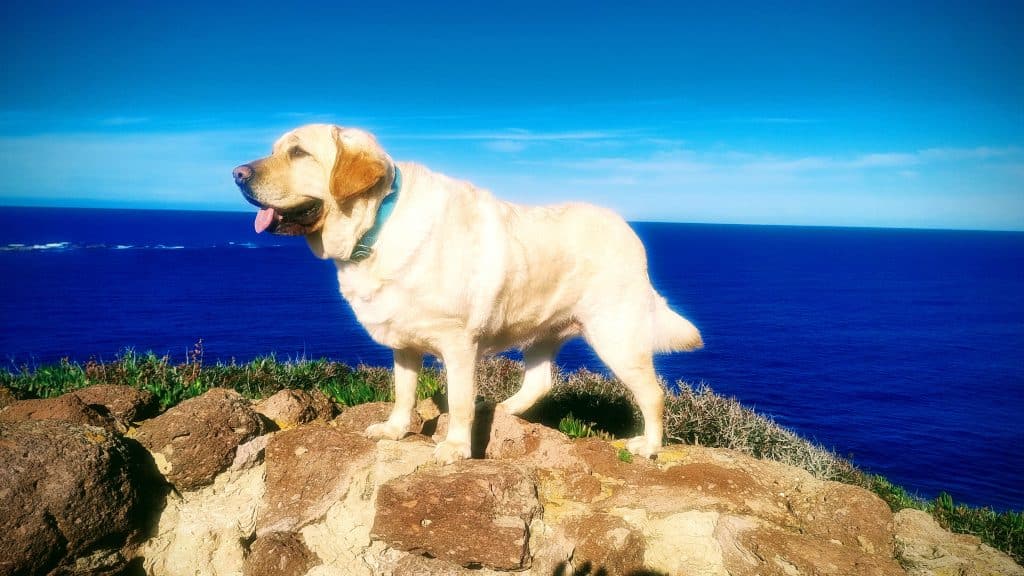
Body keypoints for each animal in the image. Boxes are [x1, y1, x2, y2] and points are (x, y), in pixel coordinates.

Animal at [233, 124, 702, 463]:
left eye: (298, 153)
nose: (237, 173)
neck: (377, 225)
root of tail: (629, 231)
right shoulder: (404, 343)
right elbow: (403, 391)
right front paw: (396, 428)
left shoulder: (458, 343)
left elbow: (458, 401)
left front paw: (457, 447)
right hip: (540, 330)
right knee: (540, 382)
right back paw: (500, 409)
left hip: (615, 335)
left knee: (652, 393)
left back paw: (649, 445)